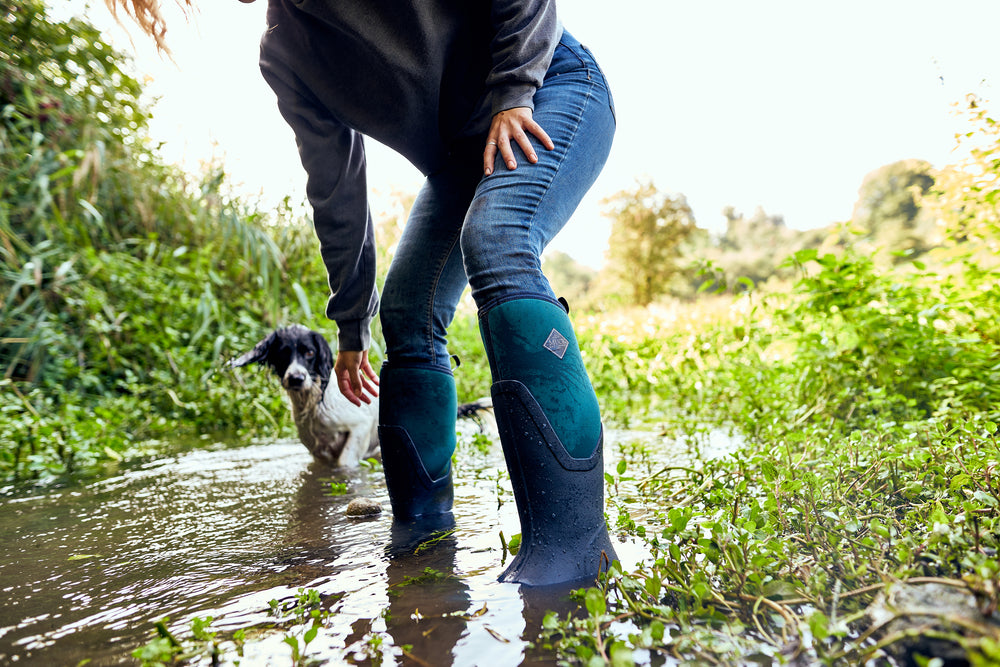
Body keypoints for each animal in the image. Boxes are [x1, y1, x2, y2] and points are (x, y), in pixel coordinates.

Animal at [228, 326, 492, 468]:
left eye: (309, 353)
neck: (315, 403)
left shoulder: (359, 428)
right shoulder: (316, 452)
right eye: (282, 354)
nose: (295, 378)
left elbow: (345, 462)